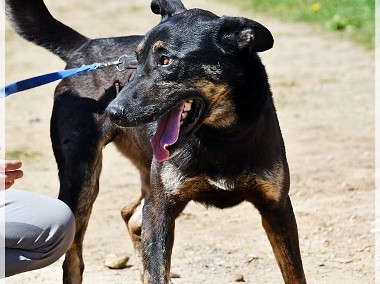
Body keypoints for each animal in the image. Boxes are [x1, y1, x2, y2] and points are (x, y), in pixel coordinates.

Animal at [5, 0, 306, 282]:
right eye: (137, 60)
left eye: (166, 61)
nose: (113, 111)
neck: (221, 137)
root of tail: (85, 47)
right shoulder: (162, 207)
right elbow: (156, 269)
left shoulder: (277, 208)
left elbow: (295, 273)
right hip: (81, 180)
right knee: (75, 256)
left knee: (131, 215)